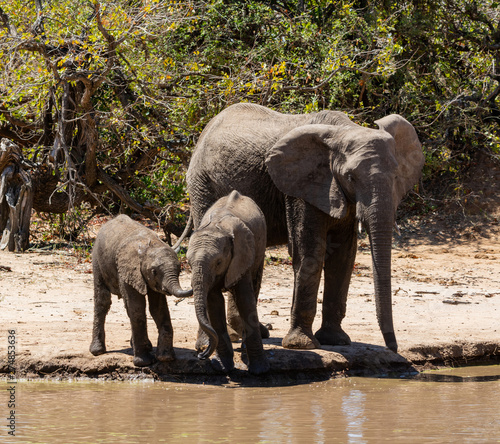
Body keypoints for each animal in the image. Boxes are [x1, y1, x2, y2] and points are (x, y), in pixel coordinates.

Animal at [89, 213, 192, 366]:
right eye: (154, 271)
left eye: (180, 270)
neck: (150, 245)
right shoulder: (128, 270)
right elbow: (137, 306)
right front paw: (144, 362)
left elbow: (158, 308)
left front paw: (165, 358)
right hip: (97, 259)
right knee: (103, 301)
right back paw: (97, 351)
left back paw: (145, 346)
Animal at [186, 102, 424, 352]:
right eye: (350, 177)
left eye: (397, 176)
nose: (393, 349)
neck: (346, 129)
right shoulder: (301, 187)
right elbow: (309, 251)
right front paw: (301, 344)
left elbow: (343, 257)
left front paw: (336, 340)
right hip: (202, 184)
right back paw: (229, 337)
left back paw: (253, 332)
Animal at [188, 190, 272, 374]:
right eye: (188, 264)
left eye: (219, 262)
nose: (201, 355)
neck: (216, 227)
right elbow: (214, 303)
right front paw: (222, 367)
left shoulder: (242, 254)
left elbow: (245, 299)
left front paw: (259, 370)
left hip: (260, 247)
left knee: (254, 286)